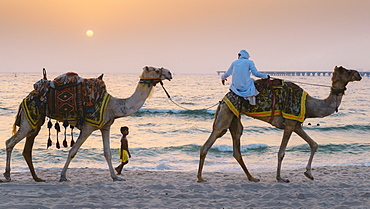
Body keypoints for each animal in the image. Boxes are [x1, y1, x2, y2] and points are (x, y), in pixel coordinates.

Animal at [2, 66, 173, 182]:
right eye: (156, 69)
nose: (169, 73)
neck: (114, 105)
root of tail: (25, 99)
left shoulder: (105, 127)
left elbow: (107, 153)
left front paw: (115, 177)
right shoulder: (88, 127)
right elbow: (73, 151)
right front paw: (63, 176)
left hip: (35, 121)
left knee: (27, 149)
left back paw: (37, 178)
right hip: (28, 120)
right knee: (10, 142)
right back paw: (8, 175)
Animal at [198, 66, 362, 182]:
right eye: (348, 71)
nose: (359, 74)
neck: (308, 105)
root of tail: (223, 99)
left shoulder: (296, 125)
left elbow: (314, 144)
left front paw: (309, 173)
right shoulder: (289, 124)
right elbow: (281, 152)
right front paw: (280, 178)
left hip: (234, 117)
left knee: (237, 146)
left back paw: (252, 177)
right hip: (226, 114)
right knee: (211, 139)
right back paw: (200, 178)